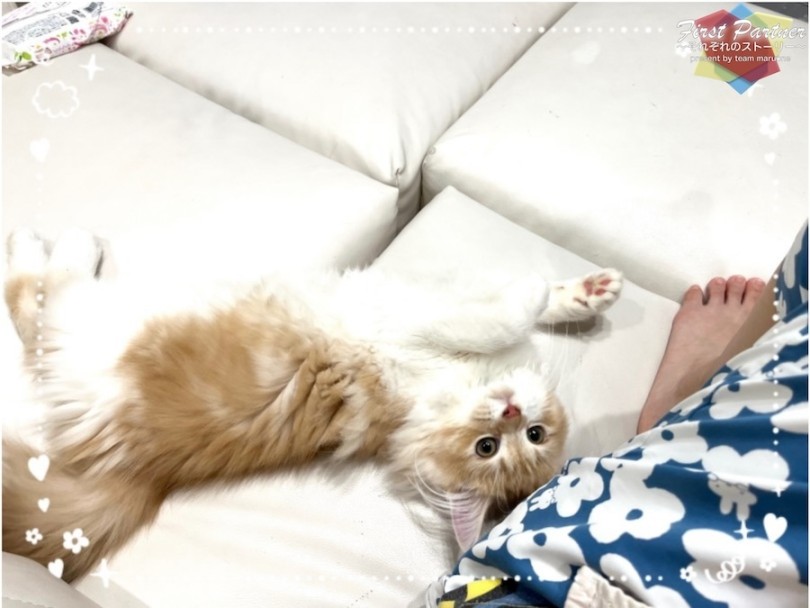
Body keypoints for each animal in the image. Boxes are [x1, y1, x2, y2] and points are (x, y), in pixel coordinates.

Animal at [2, 228, 622, 582]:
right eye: (495, 444)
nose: (512, 412)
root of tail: (137, 476)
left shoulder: (422, 323)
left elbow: (507, 313)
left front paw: (546, 294)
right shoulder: (437, 312)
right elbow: (521, 311)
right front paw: (584, 292)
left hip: (87, 329)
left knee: (32, 294)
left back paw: (51, 242)